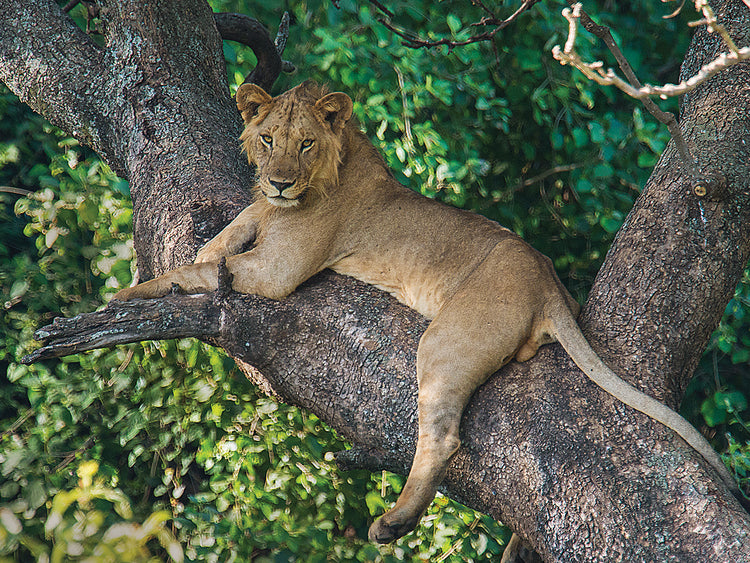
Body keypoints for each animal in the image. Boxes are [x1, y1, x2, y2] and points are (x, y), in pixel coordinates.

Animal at [114, 80, 741, 543]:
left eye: (306, 144)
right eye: (267, 139)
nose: (280, 181)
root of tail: (550, 284)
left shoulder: (279, 271)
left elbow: (195, 271)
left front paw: (125, 297)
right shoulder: (257, 223)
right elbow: (216, 244)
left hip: (446, 339)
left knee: (441, 437)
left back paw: (394, 522)